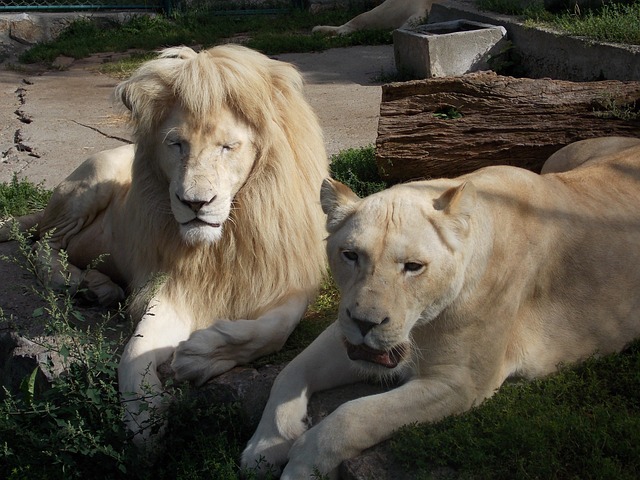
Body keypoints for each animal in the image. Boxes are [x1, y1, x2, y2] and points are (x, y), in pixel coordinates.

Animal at [1, 45, 330, 442]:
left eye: (227, 147)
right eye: (176, 144)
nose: (194, 203)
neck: (226, 241)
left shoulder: (288, 281)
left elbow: (276, 328)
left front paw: (198, 356)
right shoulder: (174, 287)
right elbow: (134, 352)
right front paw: (144, 417)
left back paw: (98, 286)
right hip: (92, 181)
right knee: (42, 244)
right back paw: (78, 282)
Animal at [242, 137, 640, 478]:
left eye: (413, 266)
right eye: (351, 255)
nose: (365, 323)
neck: (421, 325)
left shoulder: (461, 382)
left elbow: (354, 415)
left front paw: (302, 462)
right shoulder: (347, 335)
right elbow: (288, 372)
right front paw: (264, 447)